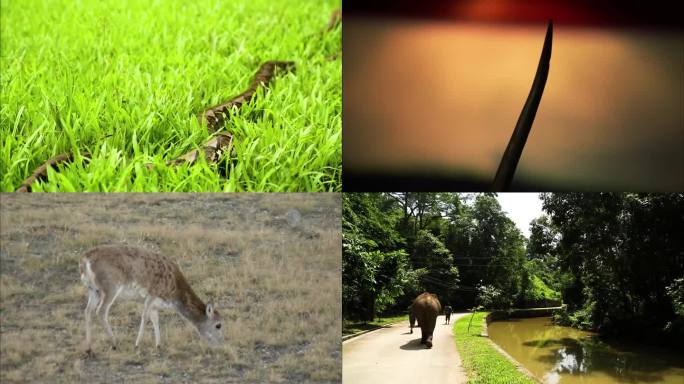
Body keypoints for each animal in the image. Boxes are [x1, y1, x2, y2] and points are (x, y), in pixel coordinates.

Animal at [79, 246, 224, 352]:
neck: (174, 292)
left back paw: (88, 347)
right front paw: (137, 344)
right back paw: (114, 343)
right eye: (218, 325)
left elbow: (155, 319)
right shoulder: (151, 295)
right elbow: (145, 317)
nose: (221, 344)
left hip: (93, 290)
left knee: (87, 310)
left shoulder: (155, 304)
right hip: (110, 288)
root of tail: (85, 260)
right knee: (101, 311)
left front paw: (158, 344)